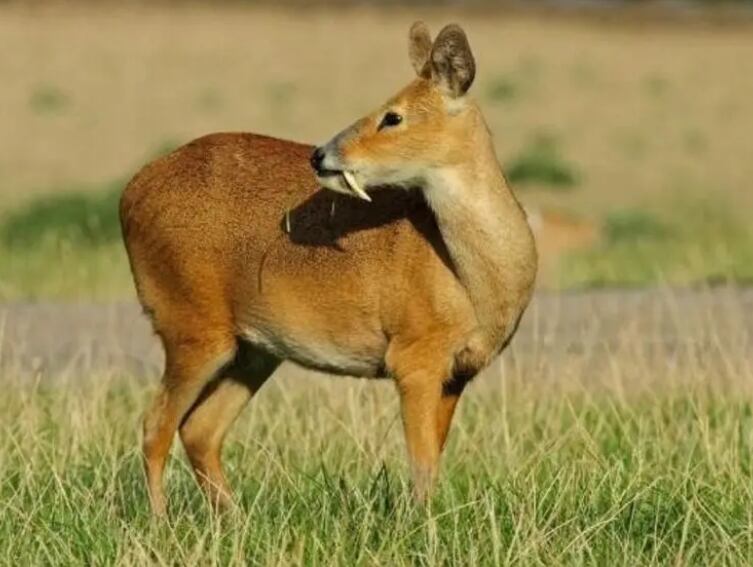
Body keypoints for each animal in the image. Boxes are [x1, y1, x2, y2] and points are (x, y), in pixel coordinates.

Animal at [120, 22, 536, 516]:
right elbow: (421, 464)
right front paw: (421, 525)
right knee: (155, 426)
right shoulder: (414, 356)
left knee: (199, 429)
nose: (321, 154)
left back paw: (235, 521)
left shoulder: (458, 373)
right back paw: (162, 522)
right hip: (191, 326)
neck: (474, 281)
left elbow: (432, 459)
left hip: (253, 350)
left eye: (392, 117)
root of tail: (130, 195)